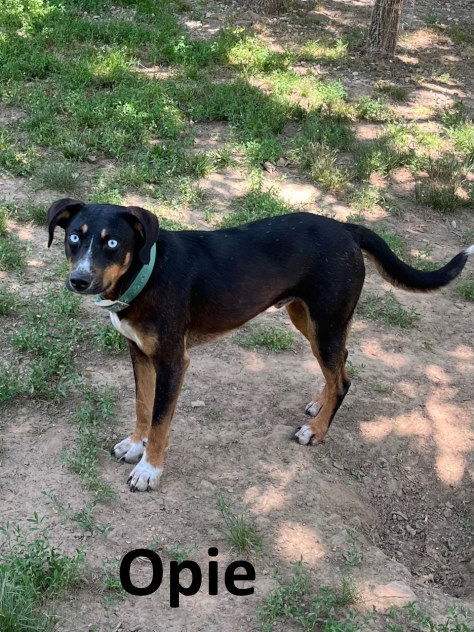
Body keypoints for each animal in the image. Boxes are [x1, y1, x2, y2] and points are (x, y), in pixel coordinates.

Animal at [46, 200, 472, 492]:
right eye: (74, 238)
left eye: (112, 243)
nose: (78, 281)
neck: (147, 273)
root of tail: (345, 228)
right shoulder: (138, 353)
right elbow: (141, 407)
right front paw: (135, 445)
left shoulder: (172, 361)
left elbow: (160, 420)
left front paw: (149, 470)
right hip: (309, 319)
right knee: (341, 365)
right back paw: (320, 404)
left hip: (326, 322)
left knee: (344, 379)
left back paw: (316, 431)